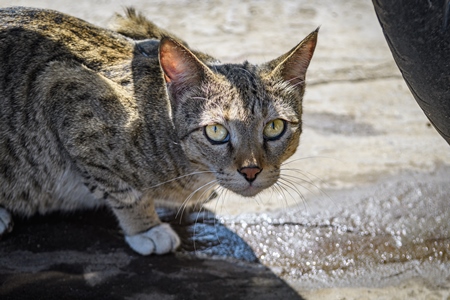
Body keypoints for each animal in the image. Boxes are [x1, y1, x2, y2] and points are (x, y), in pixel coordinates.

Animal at [0, 6, 316, 255]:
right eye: (216, 131)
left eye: (274, 127)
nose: (251, 171)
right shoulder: (63, 89)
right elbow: (122, 191)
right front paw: (145, 227)